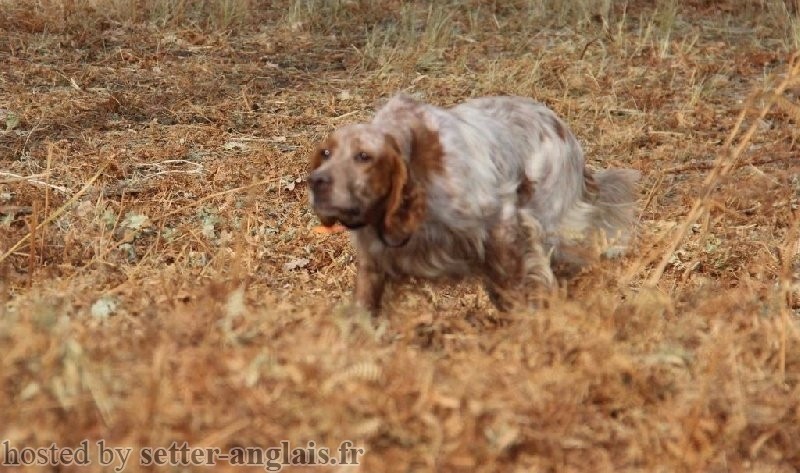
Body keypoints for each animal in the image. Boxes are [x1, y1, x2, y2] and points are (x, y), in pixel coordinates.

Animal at [306, 94, 636, 314]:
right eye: (326, 153)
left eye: (364, 156)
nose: (315, 181)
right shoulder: (374, 258)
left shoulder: (502, 224)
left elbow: (517, 286)